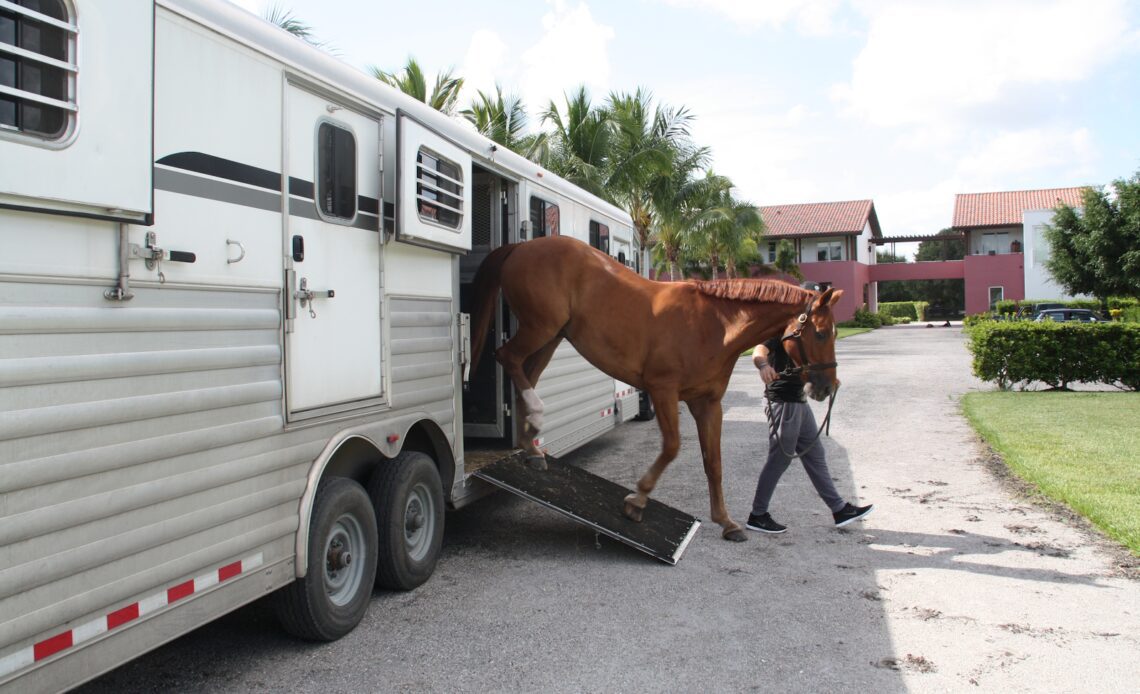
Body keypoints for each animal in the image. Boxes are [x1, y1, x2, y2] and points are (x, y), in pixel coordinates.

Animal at [467, 235, 843, 544]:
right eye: (821, 332)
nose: (826, 387)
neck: (714, 325)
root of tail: (523, 246)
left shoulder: (707, 404)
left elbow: (714, 462)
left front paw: (726, 522)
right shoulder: (663, 391)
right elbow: (672, 447)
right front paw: (636, 500)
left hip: (553, 335)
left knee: (525, 371)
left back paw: (531, 447)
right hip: (540, 328)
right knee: (507, 358)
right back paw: (535, 419)